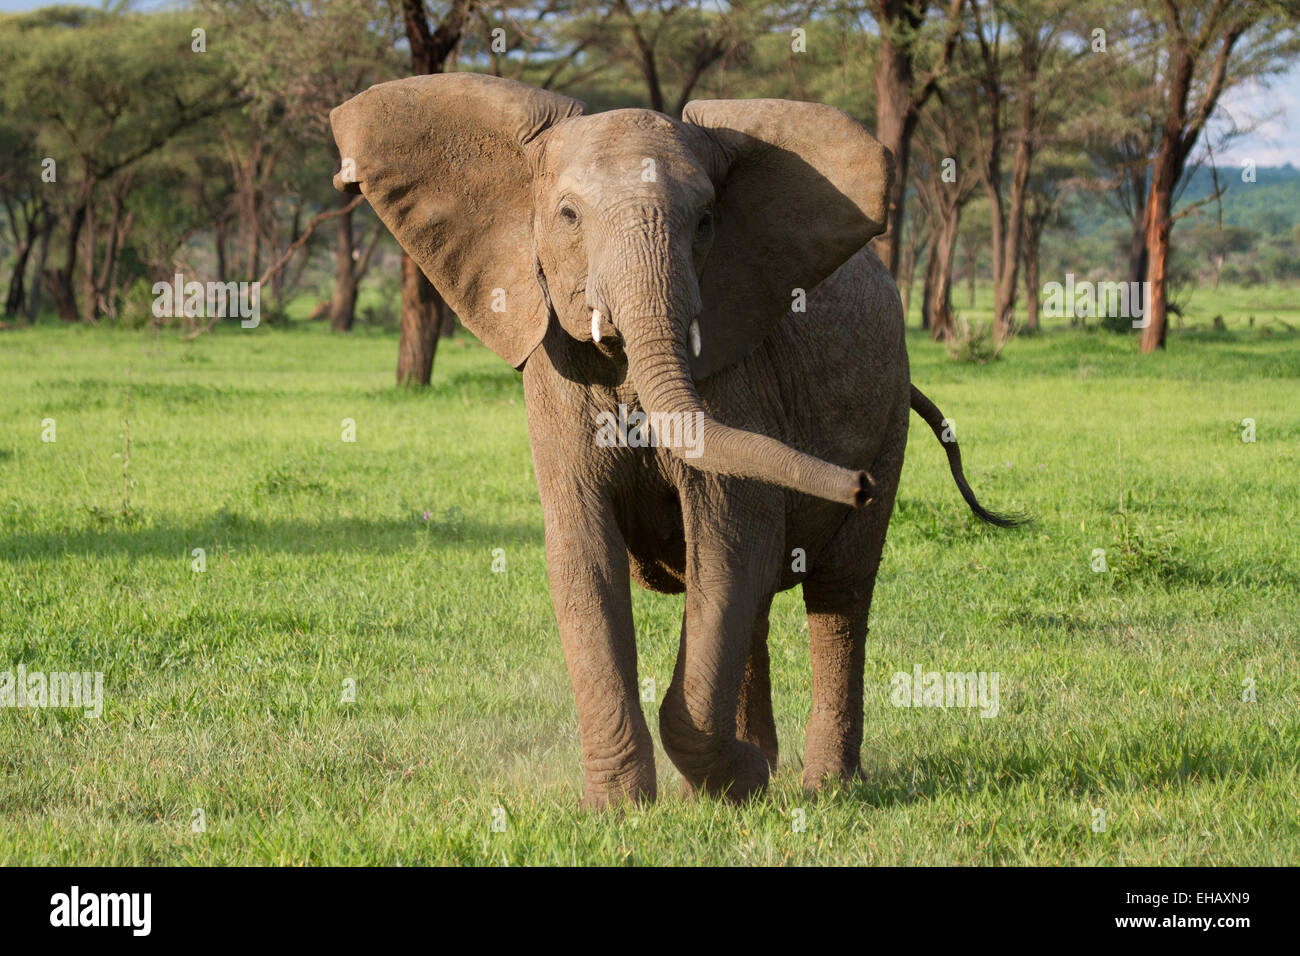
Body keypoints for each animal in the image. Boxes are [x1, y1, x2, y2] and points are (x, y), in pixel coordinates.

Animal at [330, 72, 1019, 806]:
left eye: (706, 221)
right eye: (568, 216)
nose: (854, 484)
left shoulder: (736, 366)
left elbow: (729, 538)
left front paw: (734, 778)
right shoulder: (554, 366)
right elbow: (586, 557)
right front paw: (625, 808)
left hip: (887, 406)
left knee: (838, 592)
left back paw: (823, 786)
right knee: (760, 600)